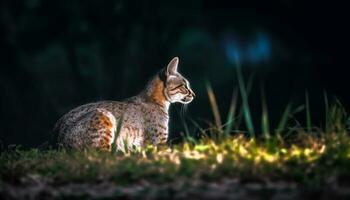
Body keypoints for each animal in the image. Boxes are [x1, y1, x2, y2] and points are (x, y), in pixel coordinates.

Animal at [52, 57, 194, 152]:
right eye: (184, 86)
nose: (193, 94)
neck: (158, 100)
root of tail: (56, 141)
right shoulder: (157, 143)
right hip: (104, 114)